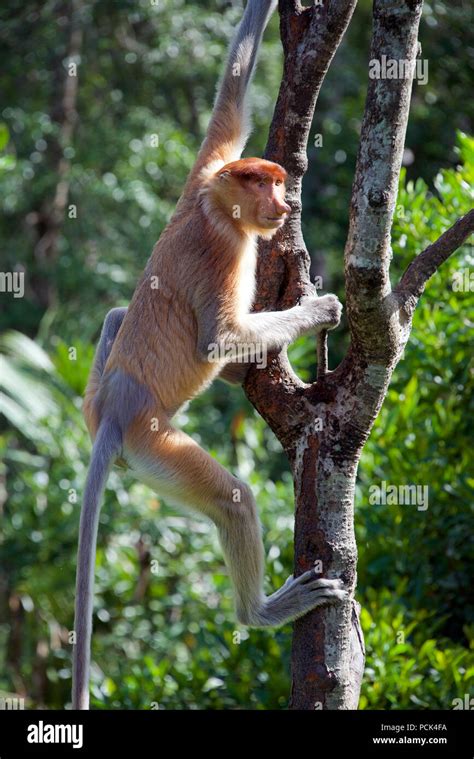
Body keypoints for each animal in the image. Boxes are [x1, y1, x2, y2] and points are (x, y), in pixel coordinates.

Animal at [75, 1, 348, 712]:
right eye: (264, 187)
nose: (284, 203)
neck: (214, 202)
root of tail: (116, 409)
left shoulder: (208, 164)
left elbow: (230, 97)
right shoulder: (223, 247)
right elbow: (217, 337)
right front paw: (323, 309)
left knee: (115, 317)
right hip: (154, 443)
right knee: (232, 498)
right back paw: (264, 611)